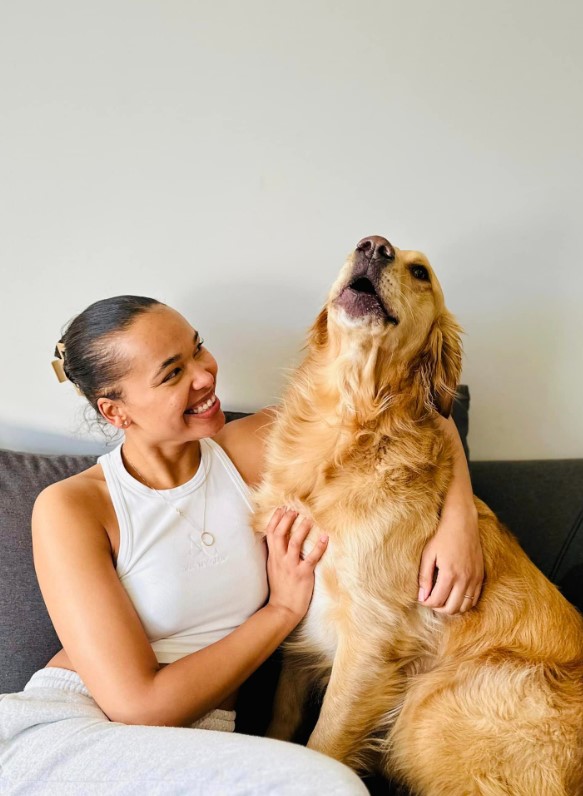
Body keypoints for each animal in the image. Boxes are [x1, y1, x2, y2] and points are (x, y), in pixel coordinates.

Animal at [253, 236, 583, 796]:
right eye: (359, 245)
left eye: (421, 273)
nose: (374, 246)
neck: (348, 424)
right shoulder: (301, 633)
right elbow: (282, 722)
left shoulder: (370, 640)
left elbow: (323, 745)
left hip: (430, 708)